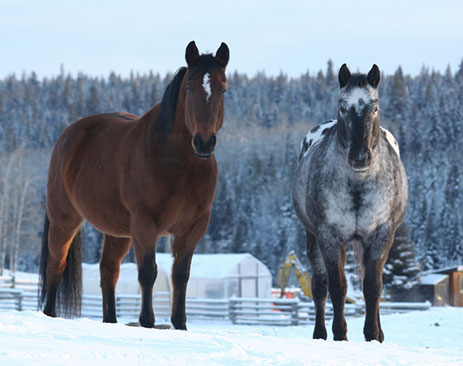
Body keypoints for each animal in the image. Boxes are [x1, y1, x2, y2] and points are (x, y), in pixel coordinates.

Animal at [39, 40, 230, 328]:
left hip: (118, 232)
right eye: (189, 87)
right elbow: (148, 273)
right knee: (56, 265)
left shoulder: (193, 227)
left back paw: (110, 320)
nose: (204, 142)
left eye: (223, 87)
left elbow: (180, 275)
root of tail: (67, 136)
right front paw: (147, 322)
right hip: (65, 220)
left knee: (108, 271)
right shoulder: (145, 224)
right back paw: (50, 314)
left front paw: (180, 324)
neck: (180, 164)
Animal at [294, 64, 410, 342]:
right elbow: (337, 287)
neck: (358, 184)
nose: (359, 157)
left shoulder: (381, 235)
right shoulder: (329, 236)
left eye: (375, 107)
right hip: (313, 238)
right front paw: (340, 334)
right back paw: (320, 333)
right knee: (320, 286)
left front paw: (373, 334)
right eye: (342, 106)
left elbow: (373, 286)